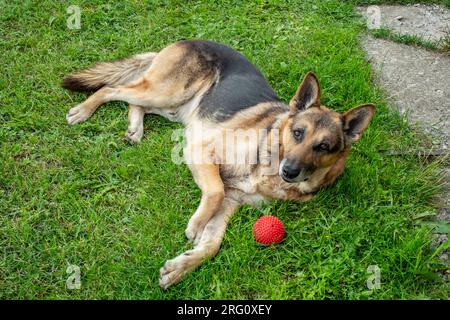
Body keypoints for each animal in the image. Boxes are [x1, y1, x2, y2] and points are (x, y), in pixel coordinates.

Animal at [61, 38, 374, 288]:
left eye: (323, 147)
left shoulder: (232, 201)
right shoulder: (203, 153)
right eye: (298, 133)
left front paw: (182, 266)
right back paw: (83, 110)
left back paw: (135, 127)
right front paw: (196, 224)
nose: (289, 171)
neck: (267, 165)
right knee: (113, 88)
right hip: (167, 93)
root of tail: (187, 39)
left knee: (134, 102)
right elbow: (215, 191)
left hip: (174, 108)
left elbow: (212, 243)